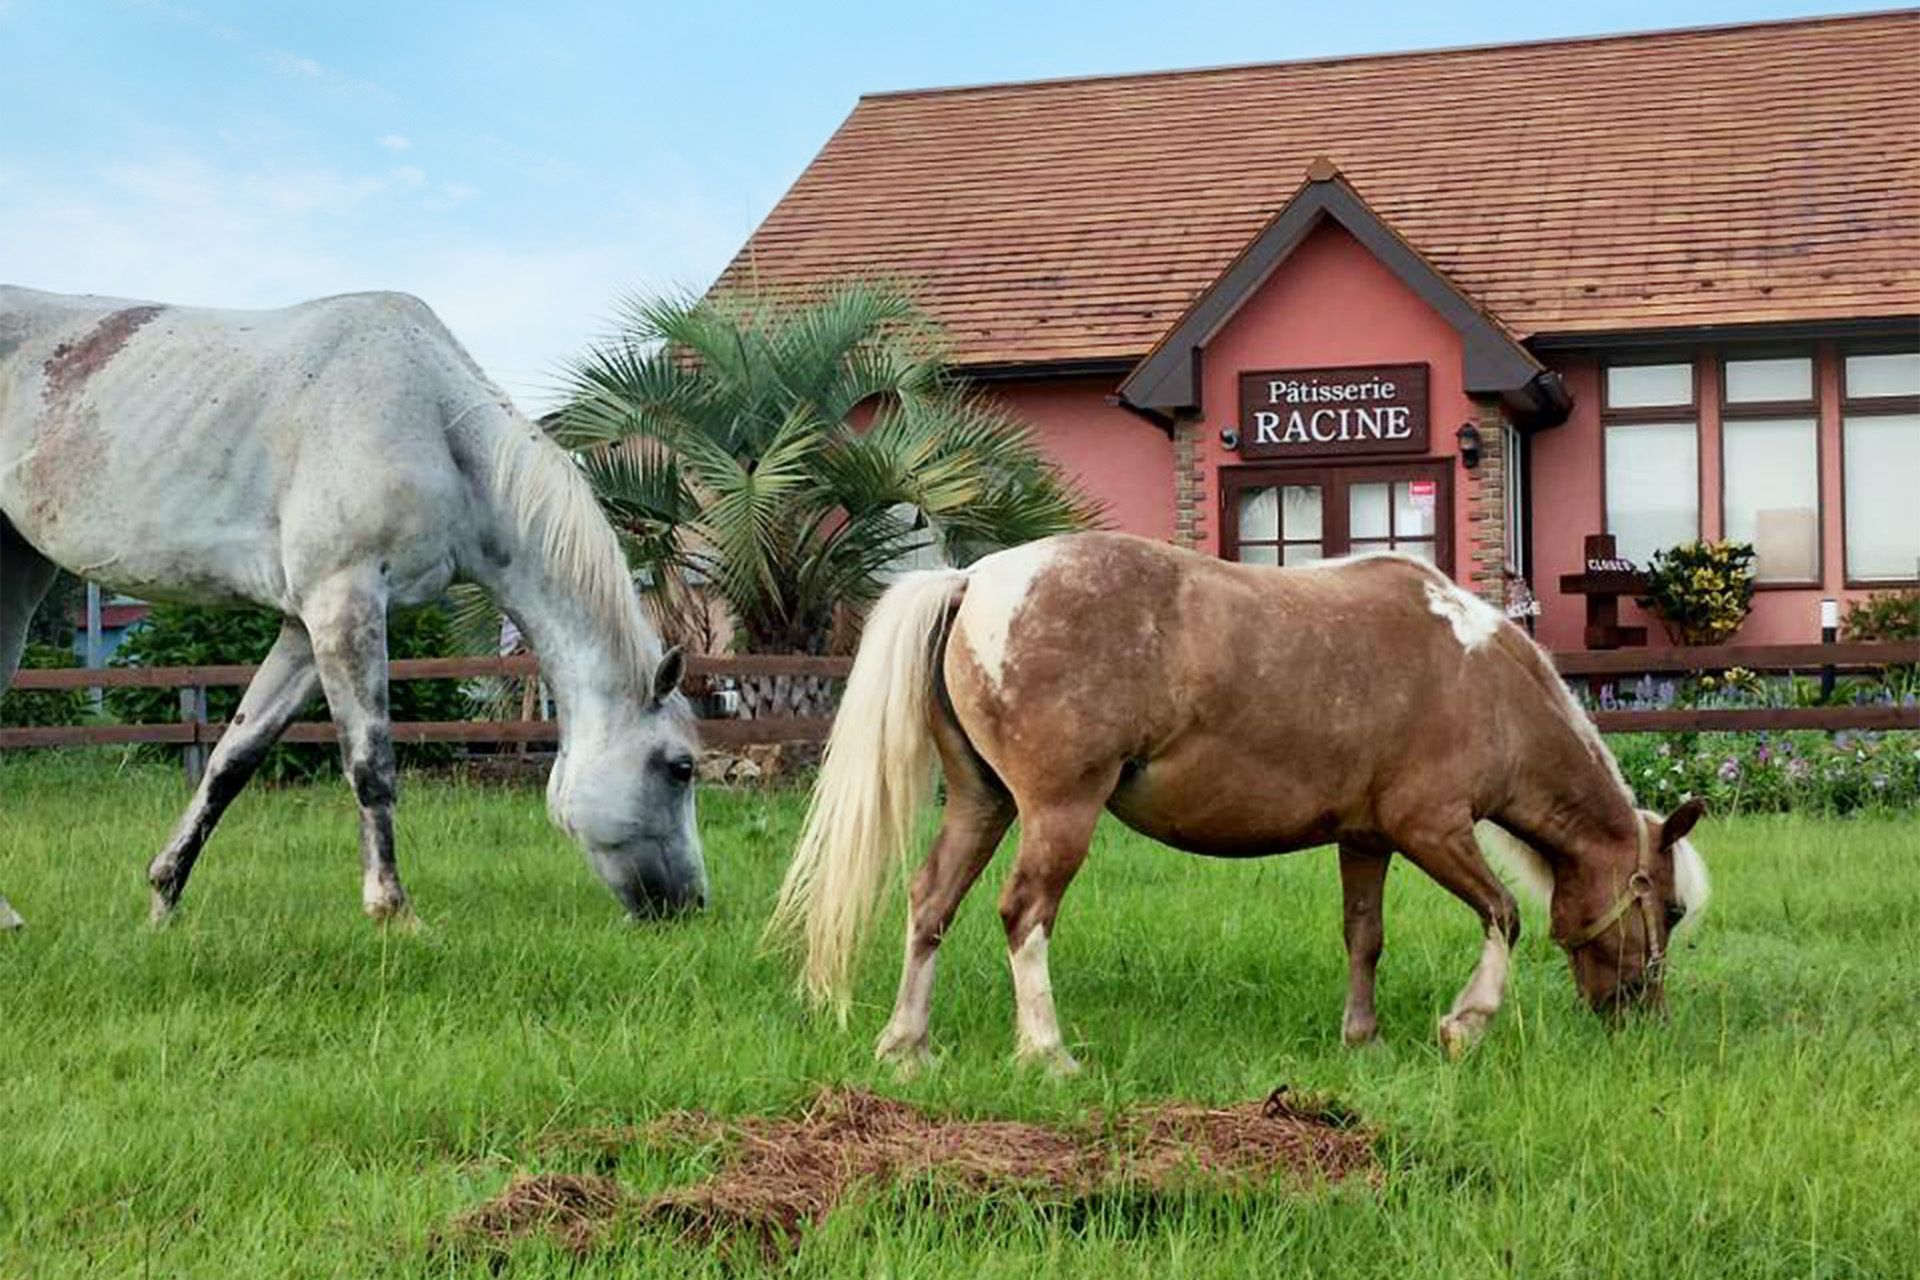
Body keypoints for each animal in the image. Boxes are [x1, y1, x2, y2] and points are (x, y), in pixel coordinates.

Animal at [0, 285, 704, 929]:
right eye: (682, 767)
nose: (691, 905)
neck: (436, 424)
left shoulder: (305, 628)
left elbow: (233, 759)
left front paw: (164, 898)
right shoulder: (344, 604)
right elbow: (371, 763)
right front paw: (393, 910)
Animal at [769, 532, 1709, 1072]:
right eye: (1665, 908)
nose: (1647, 1017)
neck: (1477, 678)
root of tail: (974, 582)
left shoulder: (1367, 839)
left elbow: (1364, 936)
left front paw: (1361, 1039)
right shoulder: (1432, 829)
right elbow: (1504, 914)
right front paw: (1465, 1025)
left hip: (982, 803)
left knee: (931, 904)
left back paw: (907, 1046)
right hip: (1057, 813)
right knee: (1023, 913)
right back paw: (1047, 1053)